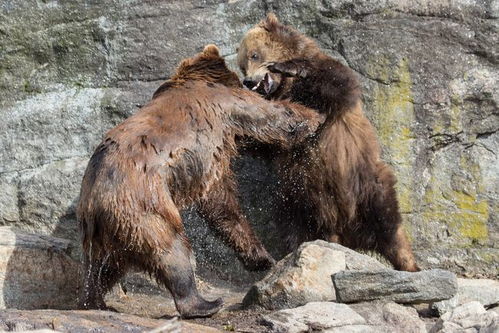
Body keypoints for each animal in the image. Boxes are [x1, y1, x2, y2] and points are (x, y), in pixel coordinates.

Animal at [75, 44, 324, 316]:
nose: (250, 82)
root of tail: (96, 203)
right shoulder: (228, 111)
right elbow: (272, 119)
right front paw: (315, 117)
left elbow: (219, 204)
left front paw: (259, 258)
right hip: (145, 209)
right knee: (172, 251)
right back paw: (205, 303)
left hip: (102, 233)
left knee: (102, 268)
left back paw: (94, 301)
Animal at [236, 14, 420, 272]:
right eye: (242, 64)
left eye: (254, 55)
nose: (248, 81)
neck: (285, 88)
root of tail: (346, 232)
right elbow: (270, 140)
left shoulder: (328, 91)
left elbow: (339, 82)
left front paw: (290, 65)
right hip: (298, 197)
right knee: (294, 226)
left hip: (365, 184)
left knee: (389, 224)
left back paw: (410, 265)